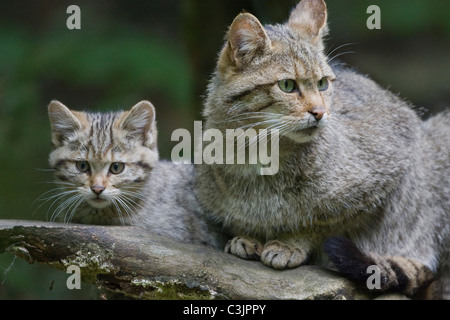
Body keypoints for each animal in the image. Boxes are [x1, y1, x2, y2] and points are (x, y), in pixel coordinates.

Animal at [196, 0, 450, 296]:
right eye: (287, 85)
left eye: (323, 83)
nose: (320, 112)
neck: (257, 153)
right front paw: (248, 235)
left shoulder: (381, 175)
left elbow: (323, 223)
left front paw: (291, 242)